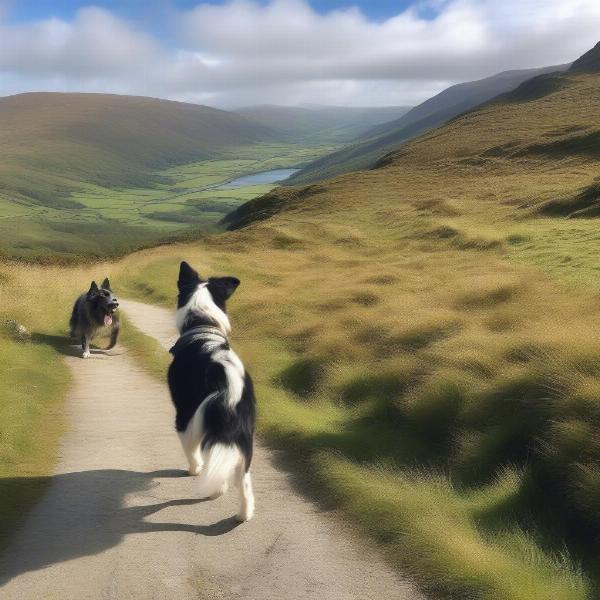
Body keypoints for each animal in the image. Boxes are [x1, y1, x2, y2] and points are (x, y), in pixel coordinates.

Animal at [166, 262, 255, 520]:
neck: (202, 324)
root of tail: (229, 385)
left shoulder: (184, 416)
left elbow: (190, 450)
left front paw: (193, 470)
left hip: (207, 425)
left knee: (215, 465)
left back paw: (214, 491)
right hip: (244, 436)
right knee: (243, 479)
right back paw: (244, 515)